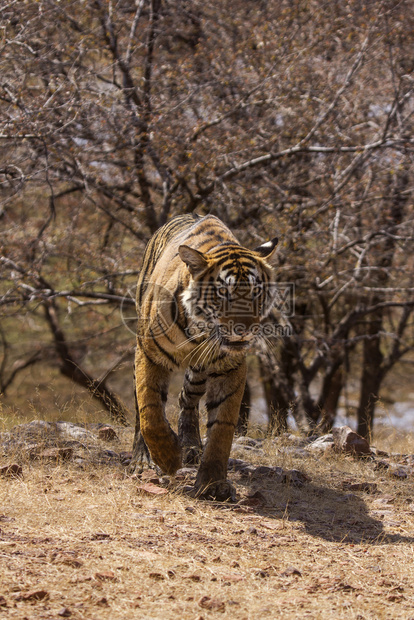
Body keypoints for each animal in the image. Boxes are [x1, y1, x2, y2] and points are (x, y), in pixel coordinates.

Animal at [130, 211, 278, 502]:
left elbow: (222, 428)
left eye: (256, 292)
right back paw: (143, 458)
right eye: (224, 293)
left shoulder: (231, 367)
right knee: (141, 409)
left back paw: (190, 445)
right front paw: (167, 458)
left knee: (185, 399)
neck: (201, 330)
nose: (244, 330)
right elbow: (150, 411)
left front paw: (212, 484)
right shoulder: (149, 355)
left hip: (198, 372)